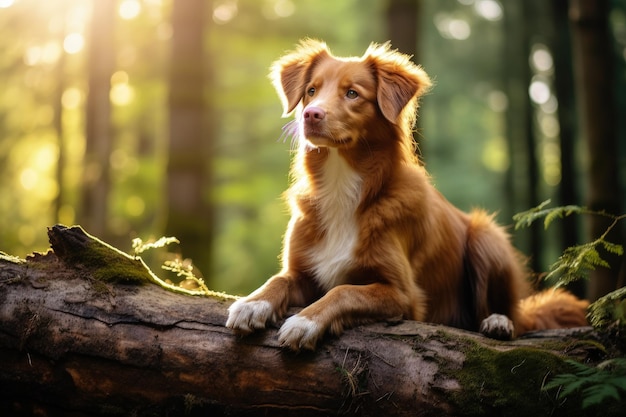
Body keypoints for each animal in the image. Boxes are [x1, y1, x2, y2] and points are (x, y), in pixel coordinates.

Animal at [227, 40, 588, 350]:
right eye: (311, 91)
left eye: (352, 93)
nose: (310, 114)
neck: (343, 185)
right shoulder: (301, 270)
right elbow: (279, 279)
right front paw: (252, 303)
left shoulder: (404, 295)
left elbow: (343, 291)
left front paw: (306, 322)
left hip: (487, 236)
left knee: (515, 316)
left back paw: (499, 321)